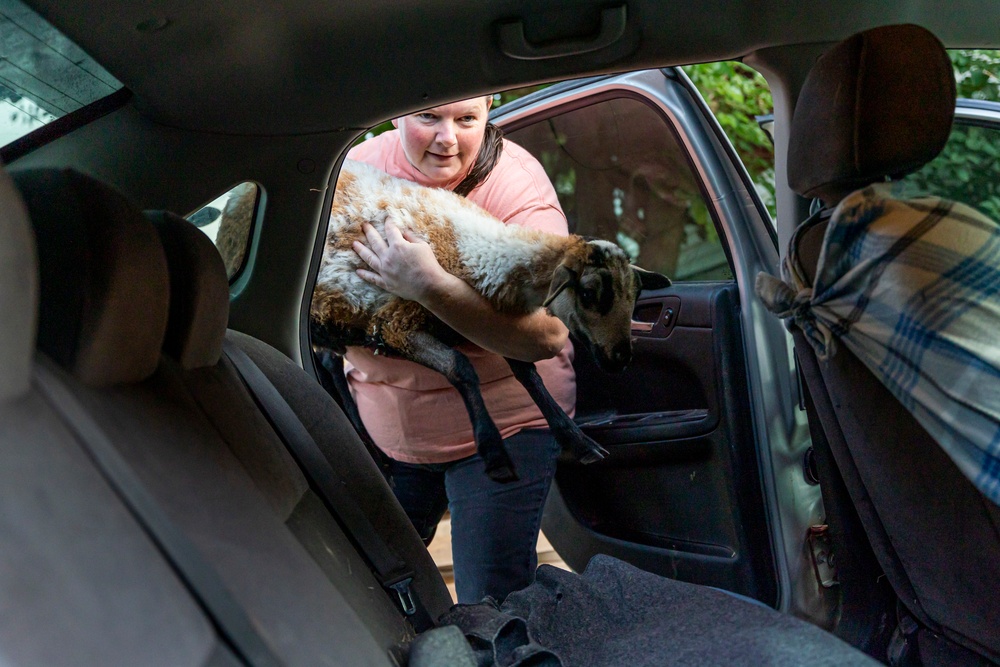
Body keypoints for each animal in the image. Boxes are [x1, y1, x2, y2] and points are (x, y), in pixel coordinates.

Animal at [312, 159, 672, 482]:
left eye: (636, 294)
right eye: (587, 293)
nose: (620, 358)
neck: (462, 246)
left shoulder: (478, 322)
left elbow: (526, 372)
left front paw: (579, 442)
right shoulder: (396, 323)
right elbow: (460, 367)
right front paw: (495, 454)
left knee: (331, 361)